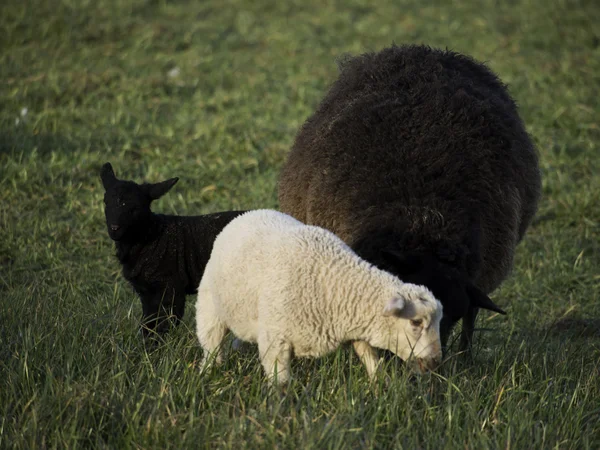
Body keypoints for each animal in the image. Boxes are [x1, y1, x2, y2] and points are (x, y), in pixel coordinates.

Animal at [99, 163, 245, 336]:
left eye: (136, 207)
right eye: (106, 202)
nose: (114, 228)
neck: (152, 236)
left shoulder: (170, 288)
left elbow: (163, 324)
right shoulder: (146, 293)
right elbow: (148, 324)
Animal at [195, 210, 442, 384]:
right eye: (415, 322)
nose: (435, 362)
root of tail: (248, 214)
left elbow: (369, 356)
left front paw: (381, 384)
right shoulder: (275, 342)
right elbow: (280, 385)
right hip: (209, 308)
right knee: (211, 346)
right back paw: (207, 374)